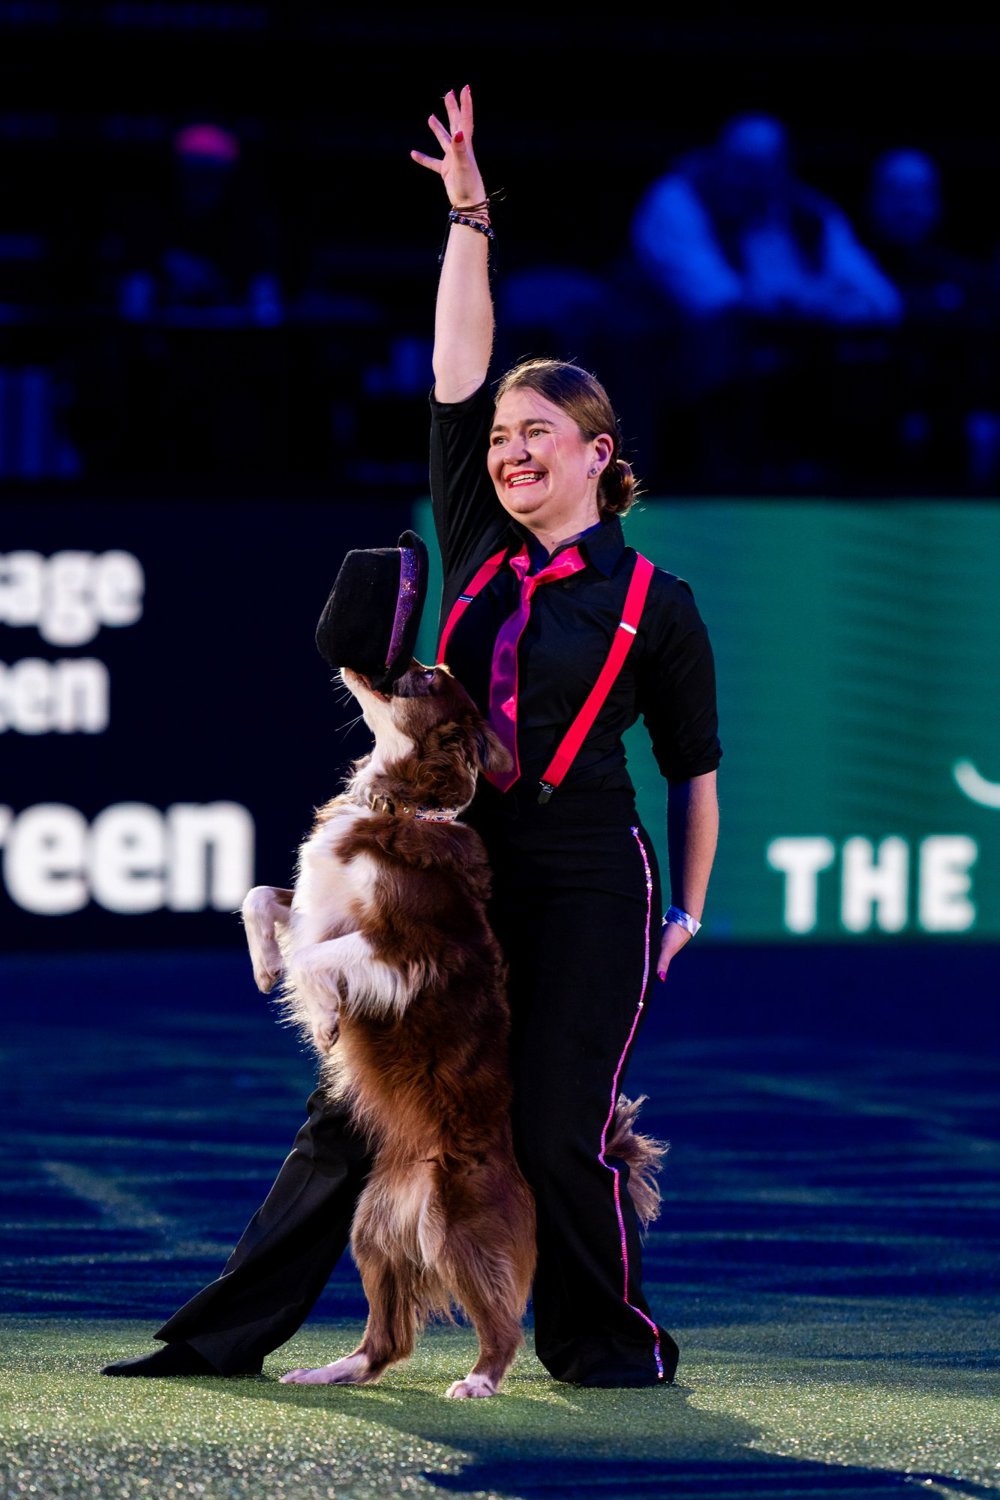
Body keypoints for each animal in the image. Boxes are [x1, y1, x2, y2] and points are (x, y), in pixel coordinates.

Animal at [242, 663, 665, 1398]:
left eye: (421, 681)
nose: (388, 660)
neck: (398, 805)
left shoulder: (404, 949)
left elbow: (319, 959)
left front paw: (323, 1019)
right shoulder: (316, 907)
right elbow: (260, 898)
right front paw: (267, 966)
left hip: (454, 1226)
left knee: (500, 1326)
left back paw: (479, 1381)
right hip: (371, 1229)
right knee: (386, 1342)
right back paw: (329, 1370)